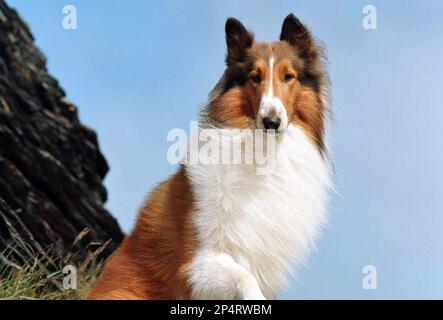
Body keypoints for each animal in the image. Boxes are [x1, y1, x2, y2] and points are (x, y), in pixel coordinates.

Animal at [86, 14, 332, 300]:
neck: (264, 153)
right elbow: (245, 278)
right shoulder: (198, 261)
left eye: (288, 76)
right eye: (255, 77)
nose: (271, 122)